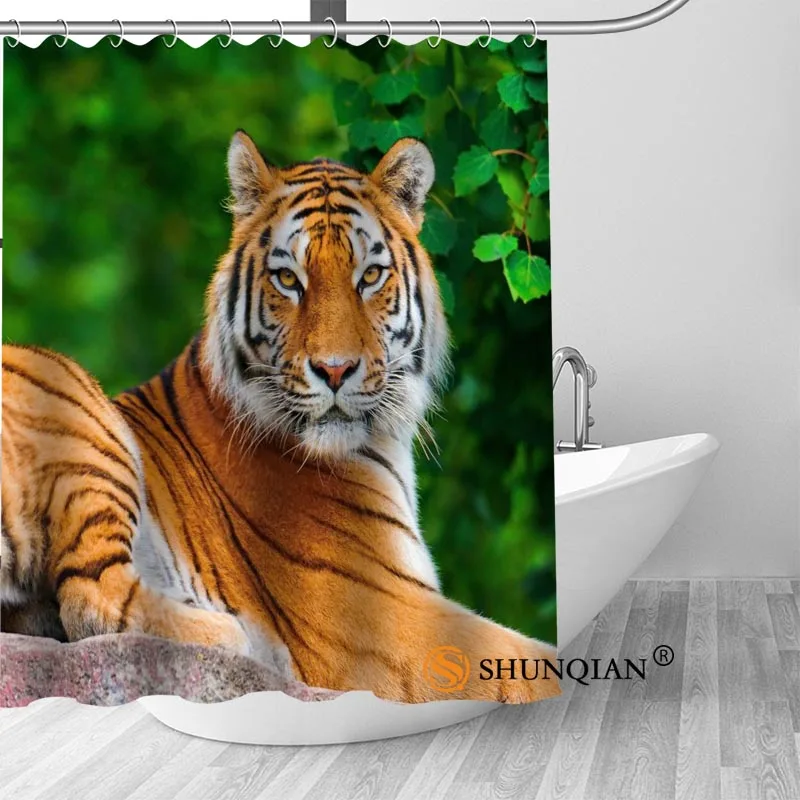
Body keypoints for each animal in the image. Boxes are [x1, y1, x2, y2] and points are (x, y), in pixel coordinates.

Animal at [1, 132, 560, 703]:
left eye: (370, 276)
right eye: (289, 278)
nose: (334, 370)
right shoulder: (375, 613)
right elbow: (532, 663)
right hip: (64, 383)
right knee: (91, 597)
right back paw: (233, 636)